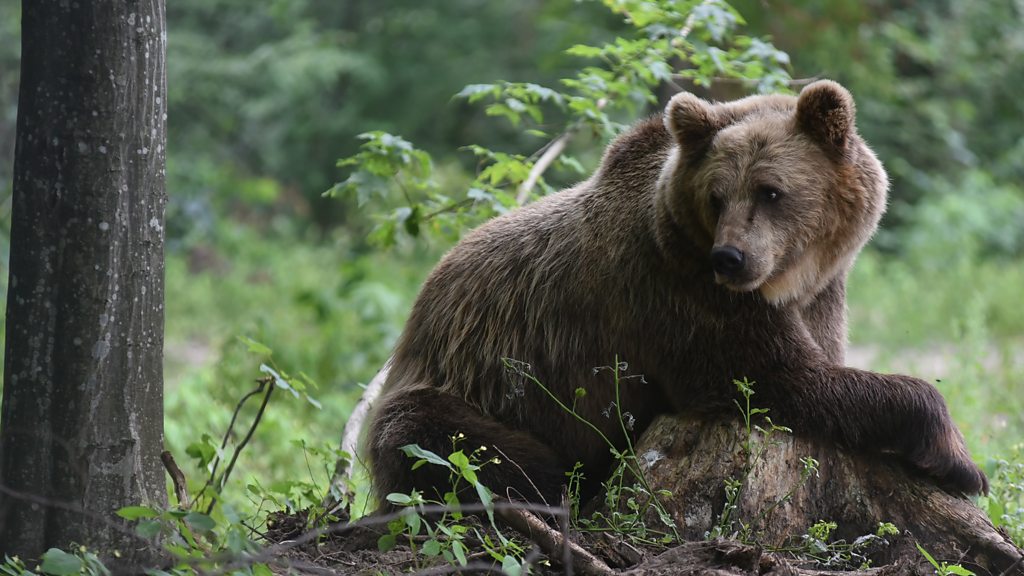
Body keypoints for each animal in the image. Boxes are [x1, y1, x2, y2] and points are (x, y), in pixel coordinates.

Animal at [366, 79, 983, 502]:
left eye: (771, 191)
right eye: (717, 195)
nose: (729, 257)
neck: (787, 280)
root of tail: (418, 313)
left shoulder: (820, 294)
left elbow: (815, 364)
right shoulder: (679, 297)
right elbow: (781, 381)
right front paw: (960, 461)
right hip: (464, 383)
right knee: (440, 440)